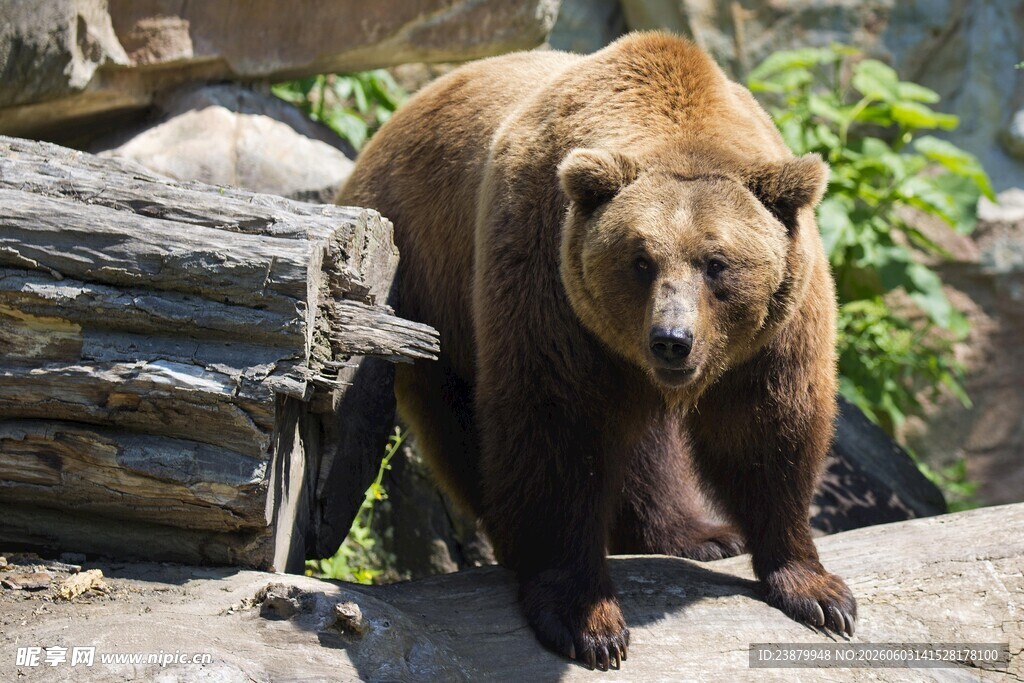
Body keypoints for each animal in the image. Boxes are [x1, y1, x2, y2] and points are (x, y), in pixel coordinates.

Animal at [338, 32, 856, 670]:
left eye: (717, 263)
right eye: (640, 260)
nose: (672, 340)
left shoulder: (774, 330)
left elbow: (769, 427)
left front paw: (818, 591)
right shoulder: (547, 281)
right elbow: (556, 429)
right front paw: (588, 621)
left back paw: (699, 534)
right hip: (428, 291)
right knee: (465, 428)